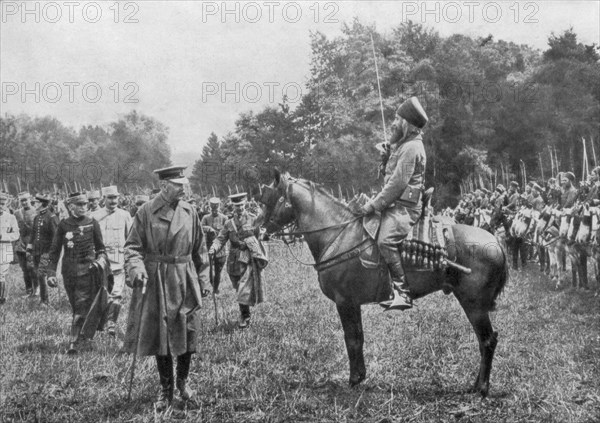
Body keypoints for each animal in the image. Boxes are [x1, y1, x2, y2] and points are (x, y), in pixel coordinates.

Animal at [260, 171, 508, 398]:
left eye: (270, 199)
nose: (260, 230)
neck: (338, 235)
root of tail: (496, 243)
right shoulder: (353, 303)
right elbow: (358, 337)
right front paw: (360, 375)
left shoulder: (344, 302)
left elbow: (351, 339)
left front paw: (354, 379)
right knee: (484, 340)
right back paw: (475, 385)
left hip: (474, 305)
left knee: (487, 340)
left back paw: (482, 388)